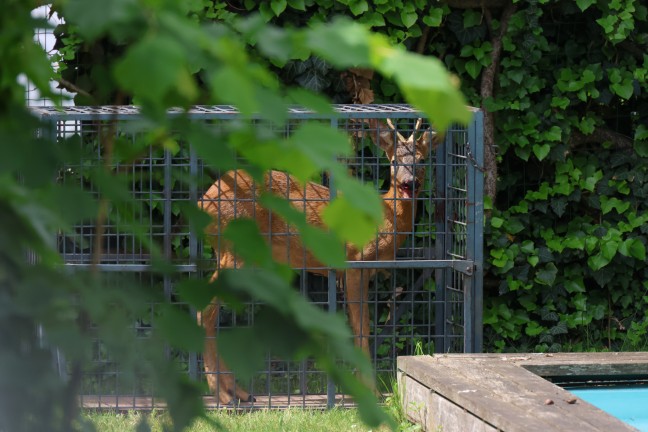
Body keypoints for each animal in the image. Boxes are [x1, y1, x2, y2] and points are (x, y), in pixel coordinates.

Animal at [197, 118, 436, 404]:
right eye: (394, 161)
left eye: (421, 160)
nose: (409, 182)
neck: (383, 216)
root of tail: (203, 202)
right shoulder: (355, 261)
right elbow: (363, 328)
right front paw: (372, 392)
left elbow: (354, 326)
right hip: (237, 251)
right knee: (205, 311)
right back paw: (224, 395)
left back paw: (239, 392)